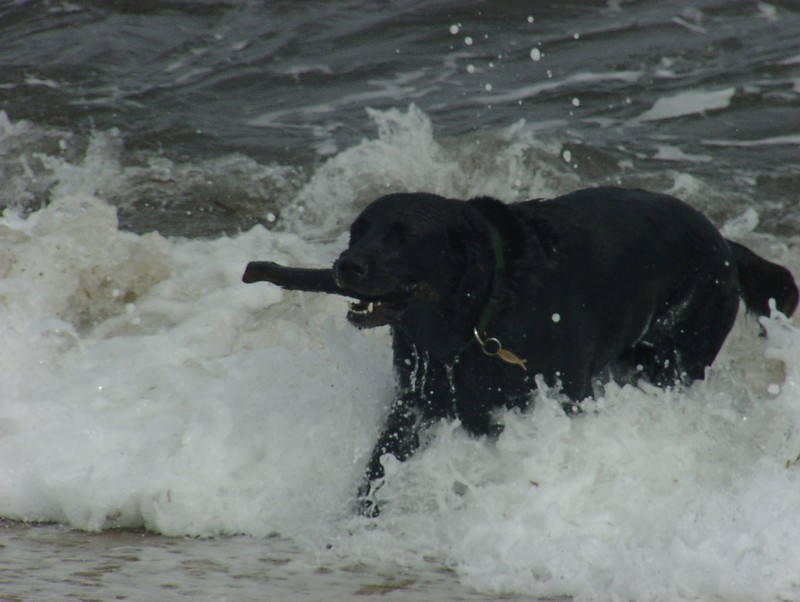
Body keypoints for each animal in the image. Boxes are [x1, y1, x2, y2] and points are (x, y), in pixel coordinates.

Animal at [244, 186, 800, 510]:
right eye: (357, 233)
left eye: (401, 237)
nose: (345, 266)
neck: (480, 313)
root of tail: (725, 244)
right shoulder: (417, 402)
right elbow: (378, 467)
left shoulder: (560, 396)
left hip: (674, 361)